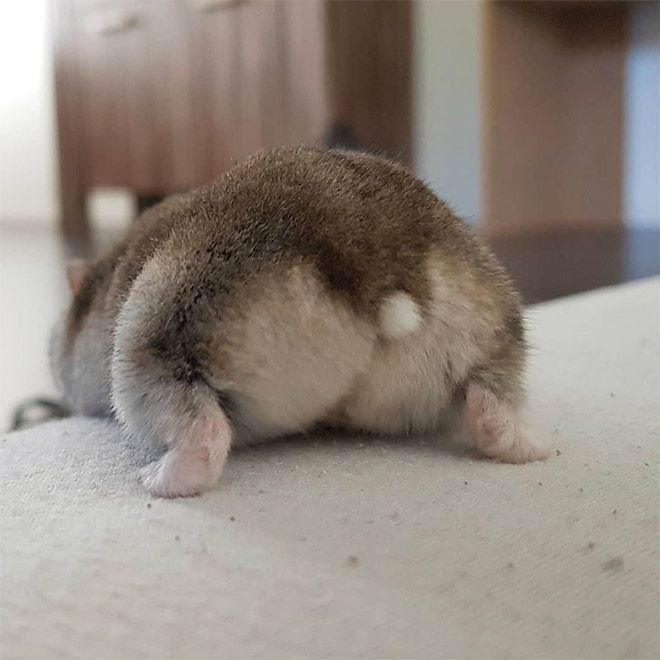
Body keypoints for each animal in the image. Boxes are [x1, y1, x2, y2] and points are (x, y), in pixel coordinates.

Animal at [49, 147, 548, 497]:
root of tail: (378, 268)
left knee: (203, 433)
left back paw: (156, 478)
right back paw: (535, 449)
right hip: (491, 331)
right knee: (491, 407)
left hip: (160, 335)